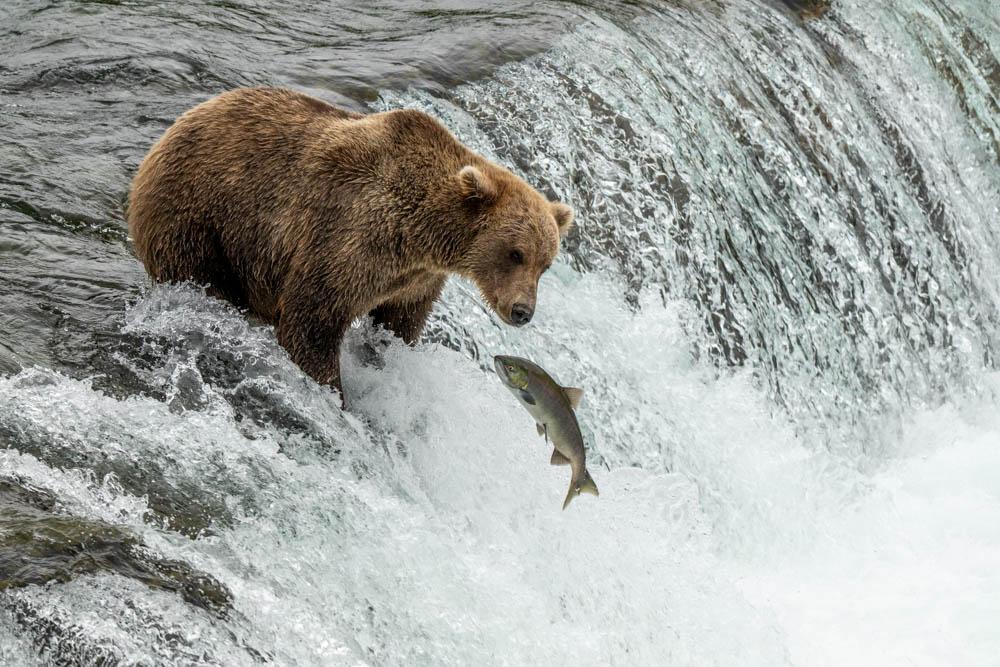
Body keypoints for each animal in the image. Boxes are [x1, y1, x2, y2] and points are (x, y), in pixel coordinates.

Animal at [127, 87, 573, 399]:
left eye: (545, 263)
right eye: (515, 253)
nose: (522, 311)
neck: (422, 234)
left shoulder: (414, 280)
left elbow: (400, 322)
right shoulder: (351, 237)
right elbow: (312, 318)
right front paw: (333, 393)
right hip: (200, 219)